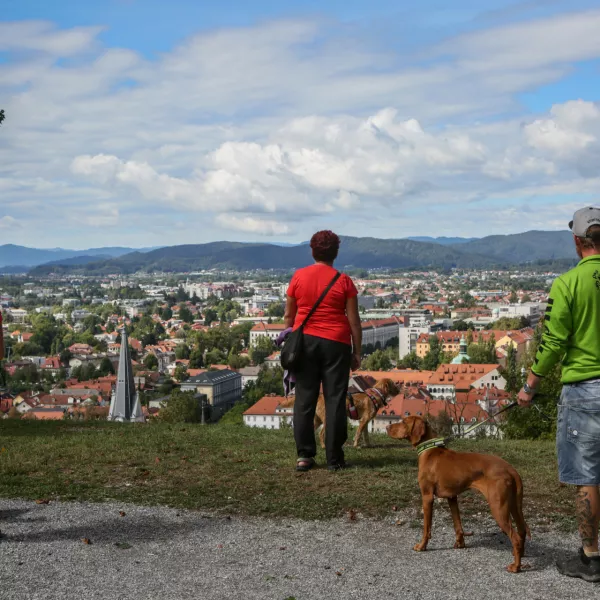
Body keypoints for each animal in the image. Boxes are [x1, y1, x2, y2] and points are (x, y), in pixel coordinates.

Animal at [386, 414, 528, 576]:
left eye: (404, 422)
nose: (387, 427)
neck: (430, 450)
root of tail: (511, 469)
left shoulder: (427, 496)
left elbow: (426, 528)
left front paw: (422, 546)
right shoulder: (452, 497)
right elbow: (457, 523)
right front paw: (460, 543)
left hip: (498, 508)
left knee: (515, 537)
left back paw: (516, 566)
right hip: (514, 506)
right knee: (522, 530)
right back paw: (519, 555)